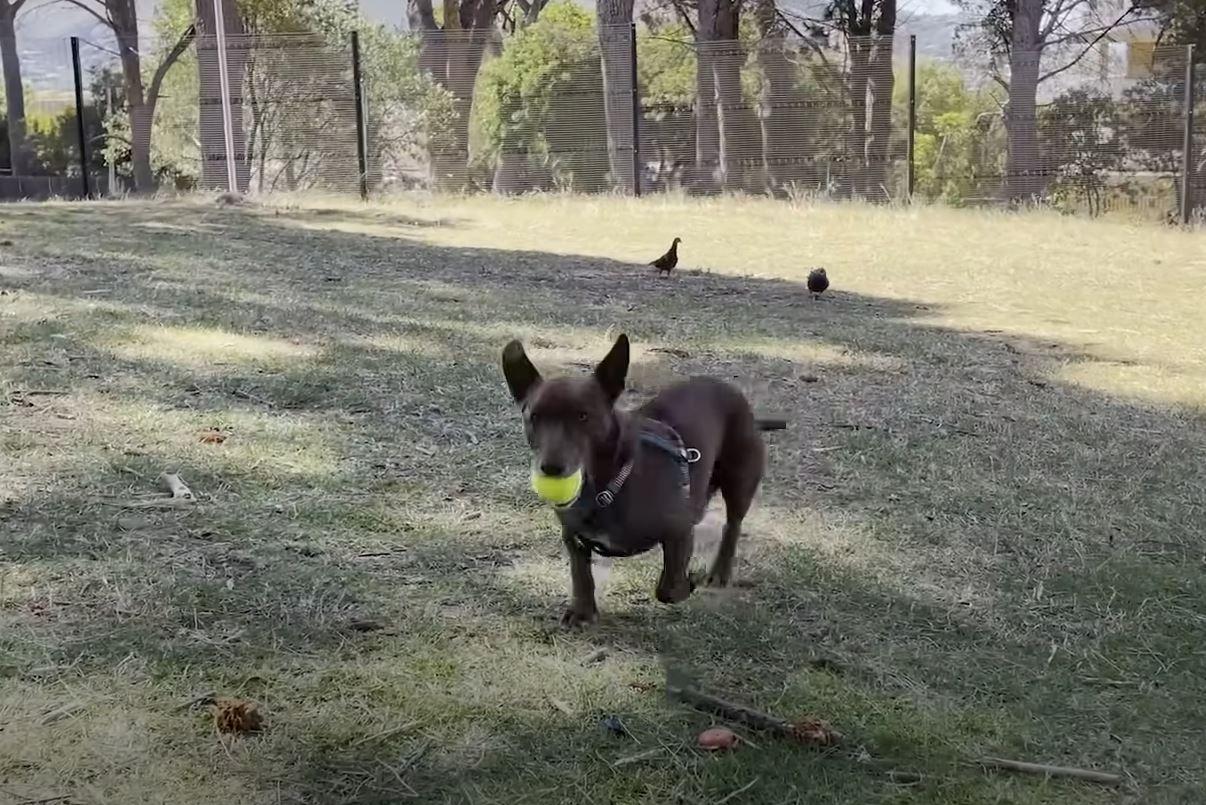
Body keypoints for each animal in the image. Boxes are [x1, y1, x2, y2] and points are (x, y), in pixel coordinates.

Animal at [499, 330, 781, 627]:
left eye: (583, 415)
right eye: (534, 417)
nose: (551, 468)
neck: (607, 487)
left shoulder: (678, 531)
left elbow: (668, 587)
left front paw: (688, 582)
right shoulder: (573, 538)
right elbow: (581, 575)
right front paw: (583, 611)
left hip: (740, 481)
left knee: (733, 525)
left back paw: (720, 571)